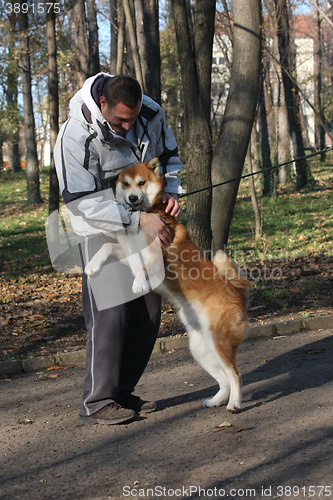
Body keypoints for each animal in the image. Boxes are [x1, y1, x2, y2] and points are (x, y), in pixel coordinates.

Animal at [84, 158, 250, 412]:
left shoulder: (154, 256)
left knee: (236, 375)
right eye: (125, 184)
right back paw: (217, 400)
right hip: (201, 348)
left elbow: (144, 269)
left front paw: (138, 285)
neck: (146, 213)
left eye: (141, 183)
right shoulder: (129, 254)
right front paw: (93, 264)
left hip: (218, 342)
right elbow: (107, 247)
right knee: (224, 379)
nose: (132, 198)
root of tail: (237, 293)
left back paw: (234, 403)